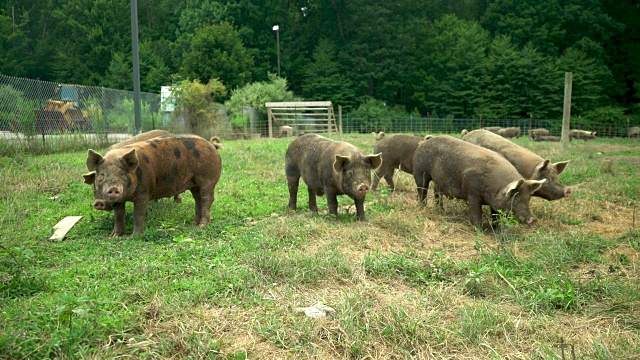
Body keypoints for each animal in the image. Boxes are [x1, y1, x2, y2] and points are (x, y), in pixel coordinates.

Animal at [85, 134, 221, 236]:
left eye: (123, 174)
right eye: (101, 175)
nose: (113, 189)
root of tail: (211, 145)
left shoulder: (143, 192)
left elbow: (138, 214)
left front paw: (134, 236)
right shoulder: (118, 201)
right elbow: (118, 216)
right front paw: (113, 236)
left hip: (207, 179)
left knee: (207, 199)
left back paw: (202, 225)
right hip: (194, 184)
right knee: (198, 199)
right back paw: (194, 223)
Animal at [410, 136, 544, 226]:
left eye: (528, 198)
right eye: (515, 198)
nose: (533, 219)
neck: (496, 187)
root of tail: (424, 142)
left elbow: (495, 215)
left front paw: (496, 228)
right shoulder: (472, 192)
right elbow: (476, 213)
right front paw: (479, 230)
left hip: (439, 181)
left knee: (437, 193)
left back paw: (441, 210)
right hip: (420, 172)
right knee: (422, 190)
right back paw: (422, 207)